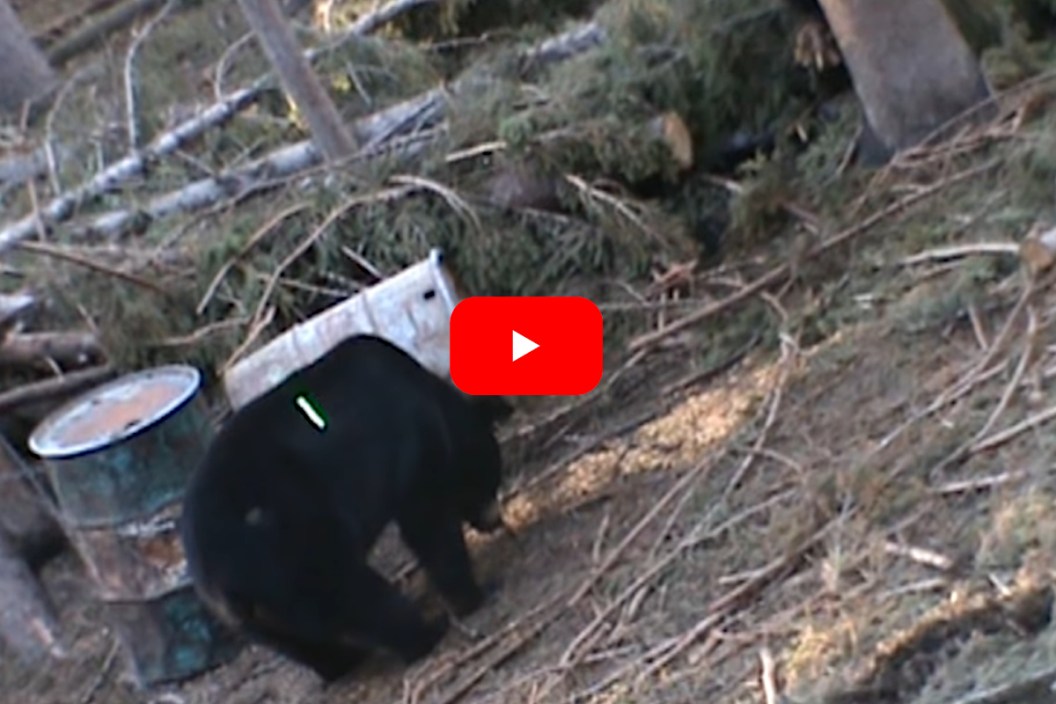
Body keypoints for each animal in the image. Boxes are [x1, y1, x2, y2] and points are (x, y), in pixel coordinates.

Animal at [178, 333, 512, 682]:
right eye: (491, 478)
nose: (496, 520)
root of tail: (219, 577)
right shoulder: (409, 442)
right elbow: (428, 522)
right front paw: (472, 595)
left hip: (253, 613)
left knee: (297, 642)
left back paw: (342, 663)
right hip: (295, 544)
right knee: (357, 595)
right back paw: (427, 632)